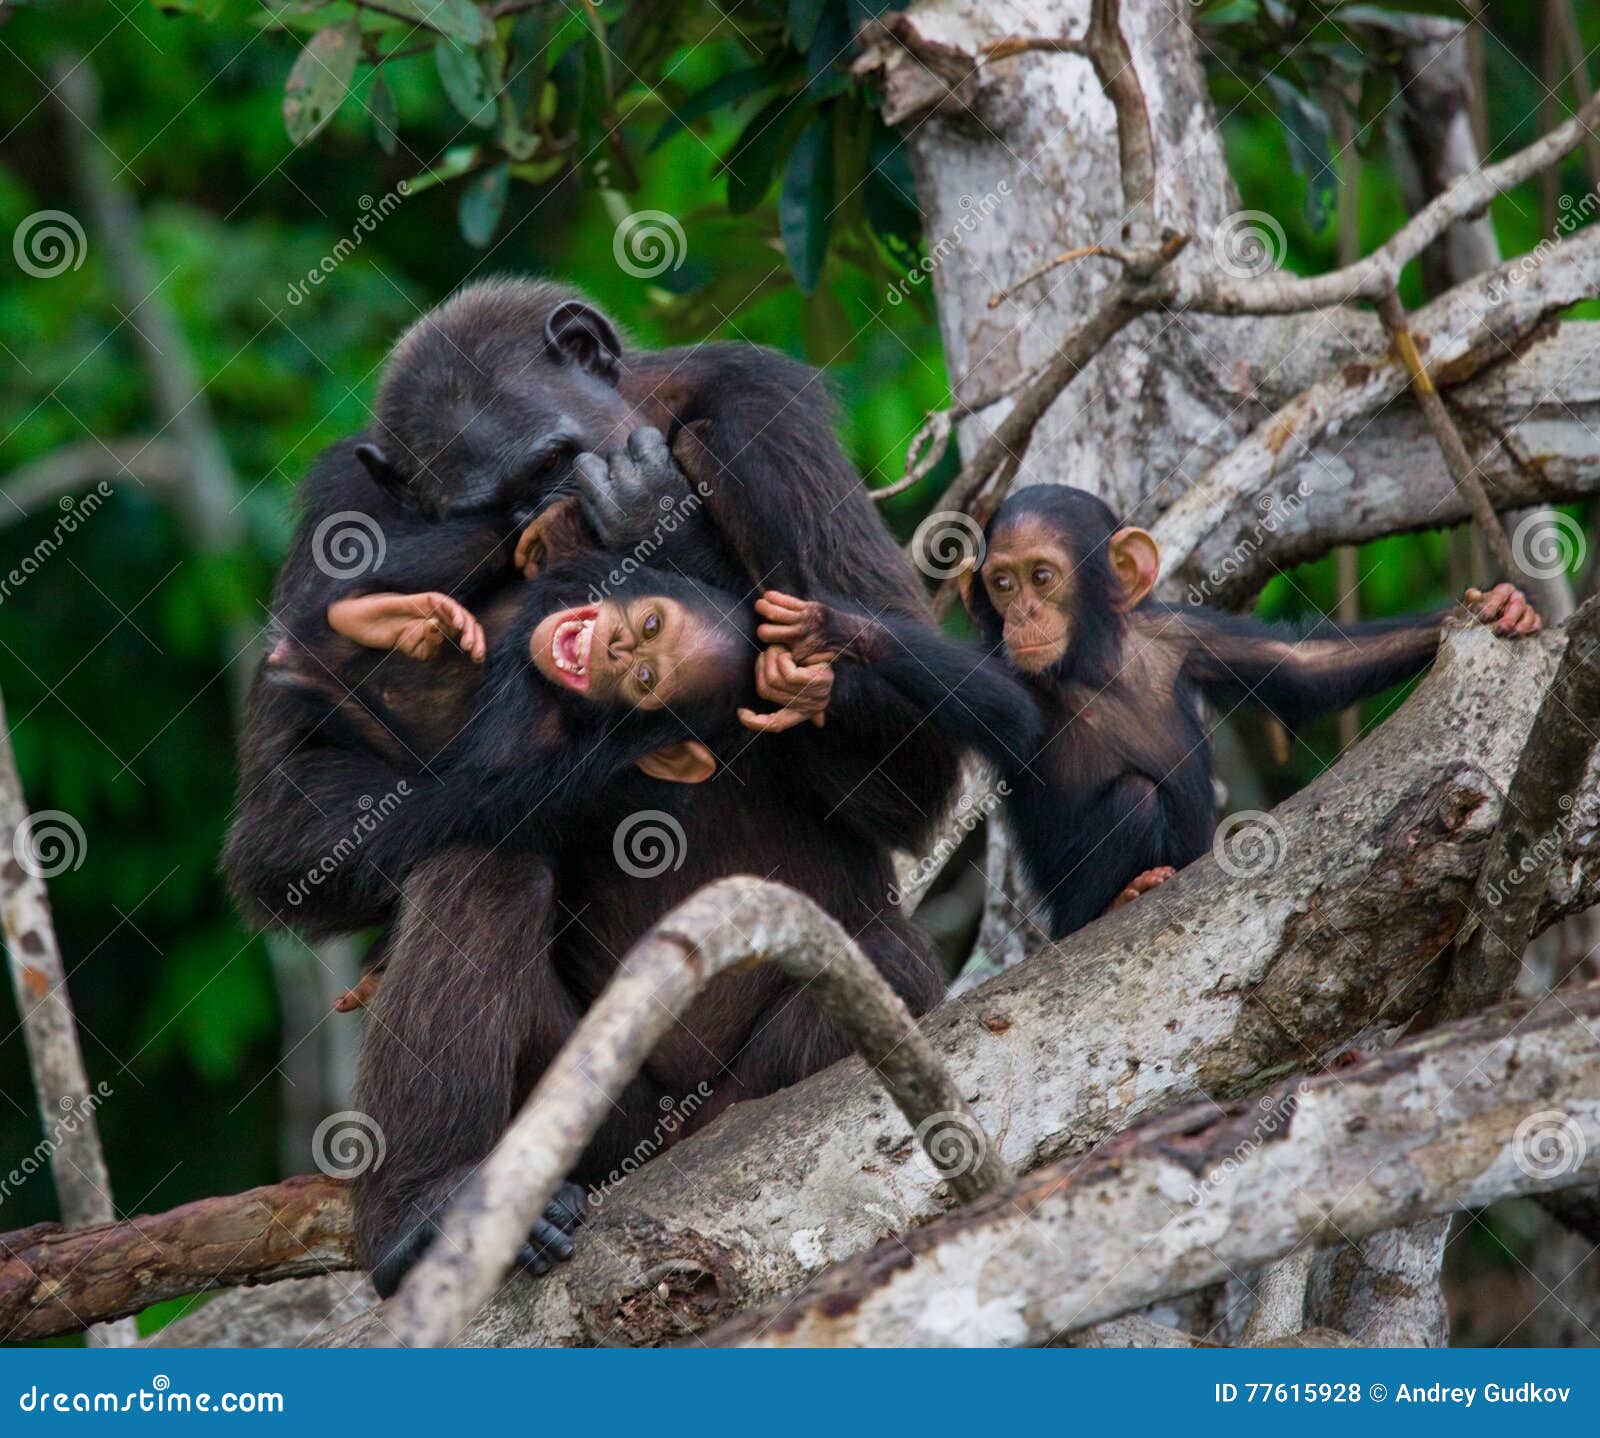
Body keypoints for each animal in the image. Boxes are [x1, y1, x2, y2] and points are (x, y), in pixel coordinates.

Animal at [953, 486, 1542, 946]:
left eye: (1041, 577)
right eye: (1002, 584)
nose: (1022, 614)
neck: (1094, 663)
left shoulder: (1185, 633)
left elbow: (1302, 670)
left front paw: (1497, 604)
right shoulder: (1009, 674)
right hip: (1063, 922)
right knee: (1134, 800)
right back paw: (1120, 899)